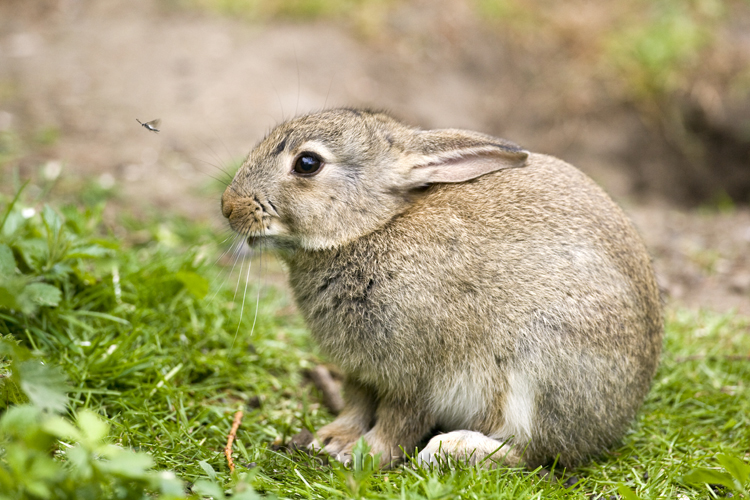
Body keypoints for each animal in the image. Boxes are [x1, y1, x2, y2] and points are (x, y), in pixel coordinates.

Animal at [222, 106, 664, 468]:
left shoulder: (418, 372)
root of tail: (618, 417)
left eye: (307, 163)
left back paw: (450, 450)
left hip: (544, 364)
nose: (228, 207)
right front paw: (331, 440)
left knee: (531, 451)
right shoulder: (363, 371)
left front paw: (365, 454)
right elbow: (356, 404)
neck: (370, 229)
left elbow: (400, 420)